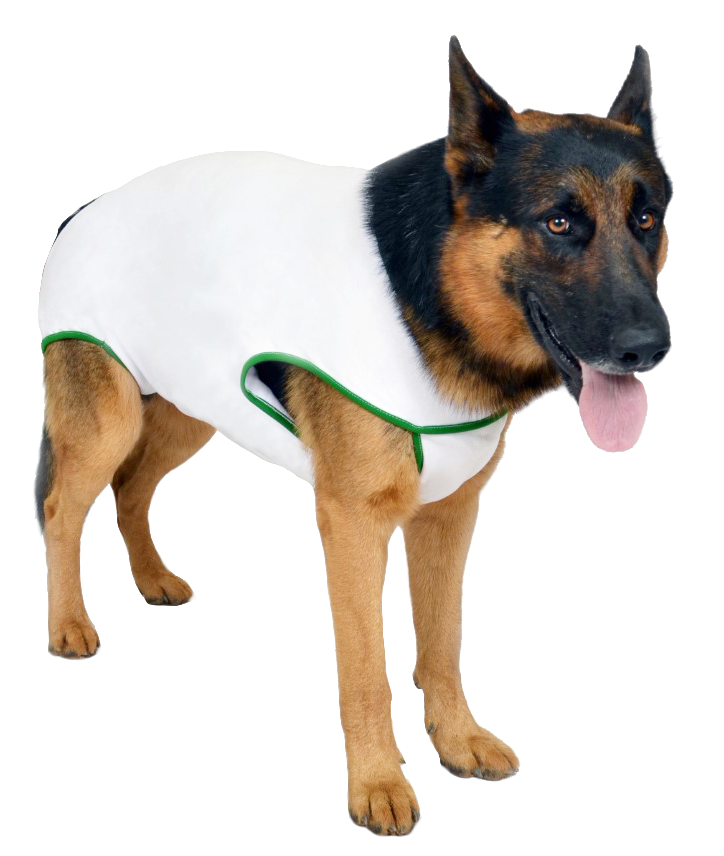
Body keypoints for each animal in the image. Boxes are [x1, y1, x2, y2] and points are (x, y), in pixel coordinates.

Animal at [35, 38, 672, 835]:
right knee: (64, 508)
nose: (648, 349)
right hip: (110, 422)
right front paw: (377, 784)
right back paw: (68, 624)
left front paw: (455, 740)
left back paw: (152, 579)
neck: (436, 292)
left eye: (647, 219)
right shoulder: (354, 526)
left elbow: (441, 644)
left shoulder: (447, 519)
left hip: (192, 410)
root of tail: (87, 209)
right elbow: (367, 669)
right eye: (558, 223)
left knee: (131, 487)